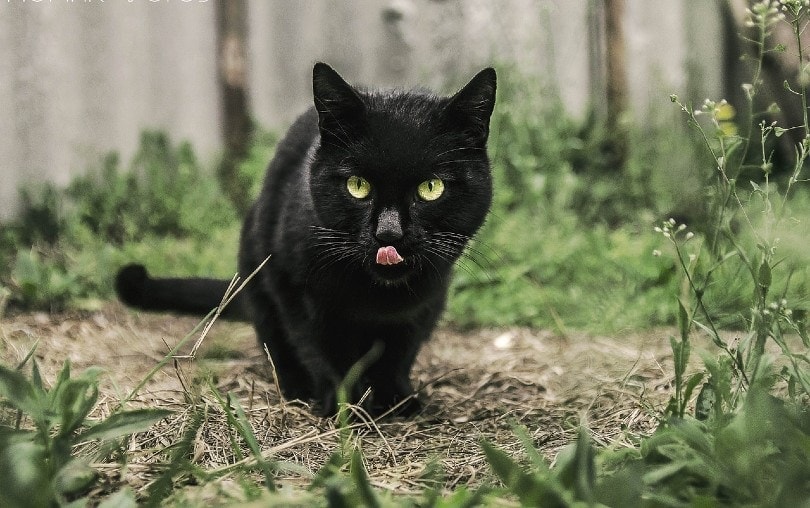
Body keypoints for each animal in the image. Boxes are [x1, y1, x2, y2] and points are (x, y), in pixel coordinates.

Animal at [113, 64, 492, 416]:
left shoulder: (426, 302)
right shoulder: (293, 286)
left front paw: (396, 400)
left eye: (431, 188)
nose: (388, 232)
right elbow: (320, 349)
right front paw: (343, 406)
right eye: (358, 185)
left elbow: (400, 352)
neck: (376, 296)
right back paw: (296, 388)